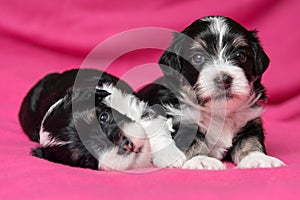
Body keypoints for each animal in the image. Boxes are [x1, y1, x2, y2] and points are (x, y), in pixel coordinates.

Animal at [137, 15, 284, 170]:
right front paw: (201, 160)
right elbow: (194, 141)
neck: (219, 111)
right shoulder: (182, 120)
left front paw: (258, 158)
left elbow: (250, 141)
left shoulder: (250, 121)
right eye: (198, 58)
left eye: (241, 55)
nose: (224, 79)